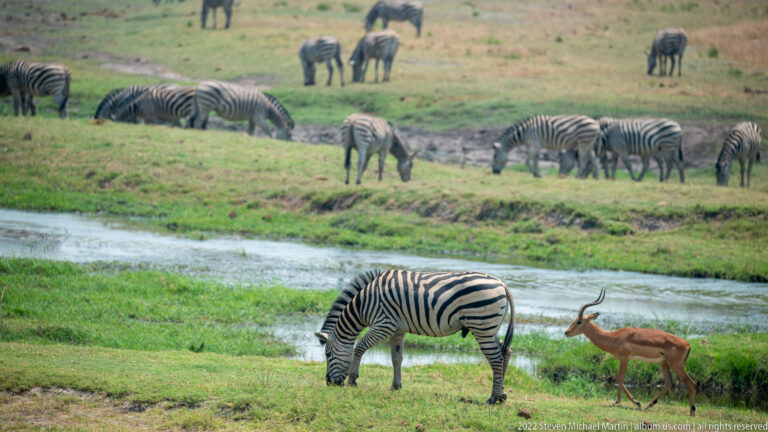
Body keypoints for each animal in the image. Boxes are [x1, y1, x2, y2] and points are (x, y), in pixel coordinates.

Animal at [315, 269, 515, 404]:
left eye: (327, 355)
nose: (329, 383)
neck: (364, 304)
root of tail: (502, 284)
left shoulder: (384, 324)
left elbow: (359, 347)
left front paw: (353, 379)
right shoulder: (397, 329)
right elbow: (396, 358)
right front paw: (396, 386)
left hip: (481, 325)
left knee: (496, 359)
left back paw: (493, 397)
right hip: (488, 328)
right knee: (505, 352)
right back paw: (502, 395)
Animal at [564, 289, 696, 416]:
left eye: (579, 321)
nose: (566, 332)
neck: (614, 337)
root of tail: (688, 345)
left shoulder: (625, 358)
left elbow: (619, 377)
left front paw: (621, 402)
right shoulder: (624, 359)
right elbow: (619, 378)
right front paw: (636, 402)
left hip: (676, 365)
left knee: (691, 383)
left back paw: (692, 411)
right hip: (664, 363)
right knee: (669, 383)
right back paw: (649, 405)